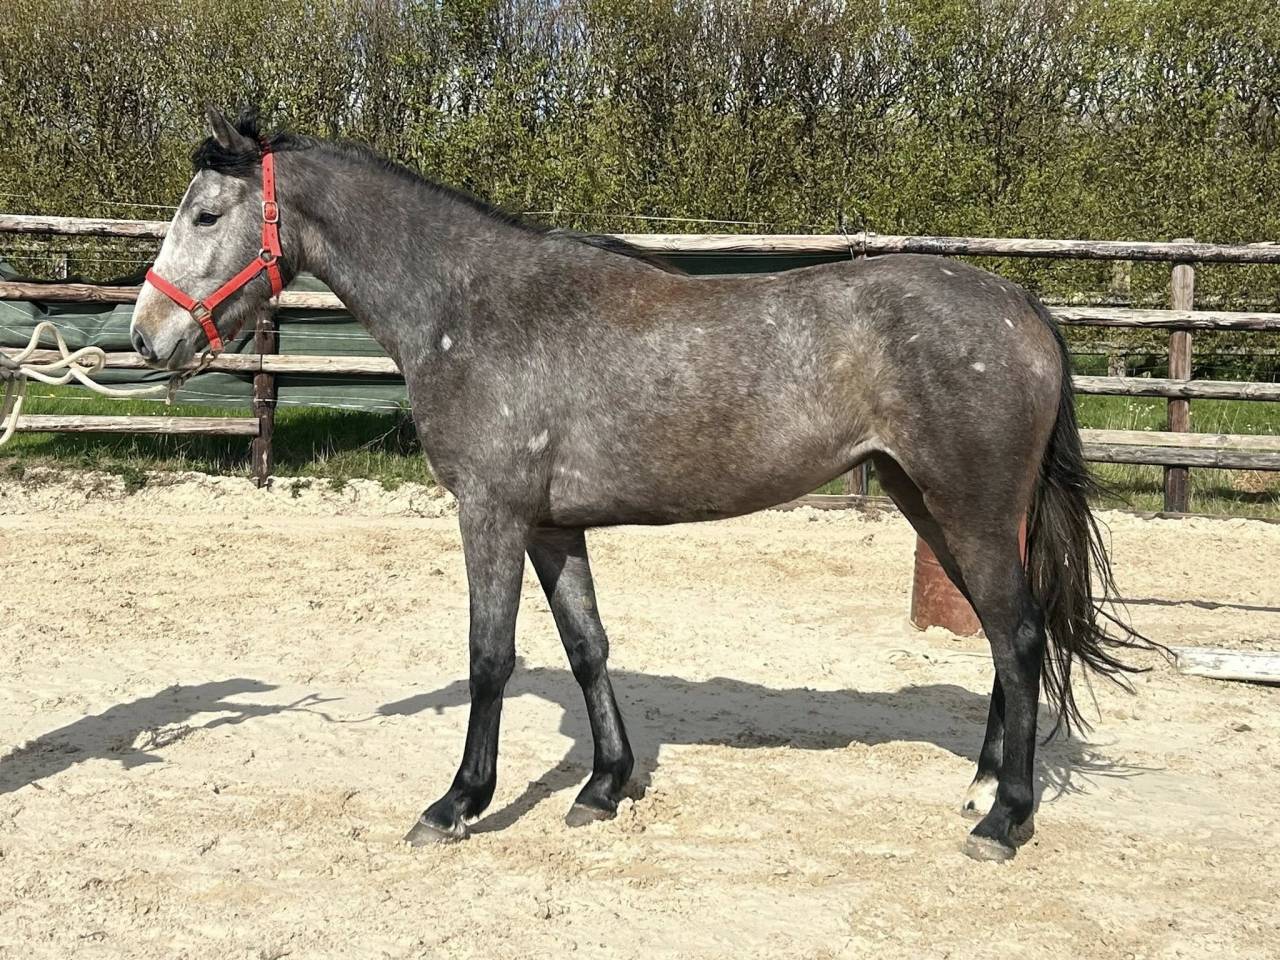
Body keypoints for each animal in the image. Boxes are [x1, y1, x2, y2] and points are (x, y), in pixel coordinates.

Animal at [129, 107, 1154, 862]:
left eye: (206, 216)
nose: (147, 336)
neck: (468, 306)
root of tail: (1020, 304)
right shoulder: (551, 527)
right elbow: (588, 647)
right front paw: (603, 786)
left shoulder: (491, 515)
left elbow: (490, 656)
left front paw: (459, 803)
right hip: (930, 506)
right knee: (1003, 638)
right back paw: (980, 786)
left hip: (970, 510)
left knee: (1019, 637)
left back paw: (1006, 819)